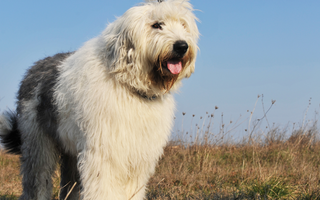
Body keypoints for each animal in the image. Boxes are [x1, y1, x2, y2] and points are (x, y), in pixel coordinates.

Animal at [0, 0, 199, 199]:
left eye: (183, 25)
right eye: (157, 25)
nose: (181, 46)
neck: (129, 85)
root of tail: (34, 67)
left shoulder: (137, 157)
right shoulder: (105, 154)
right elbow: (104, 187)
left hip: (71, 150)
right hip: (37, 141)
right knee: (38, 178)